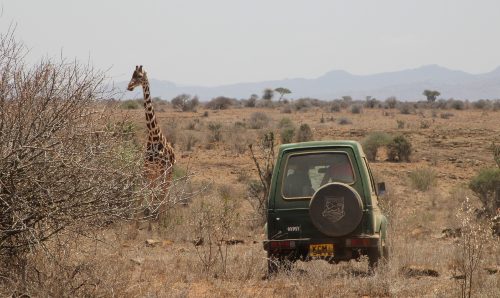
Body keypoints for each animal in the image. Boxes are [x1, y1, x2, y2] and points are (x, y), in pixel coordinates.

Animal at [127, 66, 176, 221]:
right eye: (132, 75)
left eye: (140, 76)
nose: (129, 86)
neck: (153, 136)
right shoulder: (147, 169)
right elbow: (142, 195)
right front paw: (136, 222)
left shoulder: (160, 169)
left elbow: (155, 196)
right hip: (156, 174)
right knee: (158, 193)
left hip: (168, 172)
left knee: (165, 195)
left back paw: (164, 218)